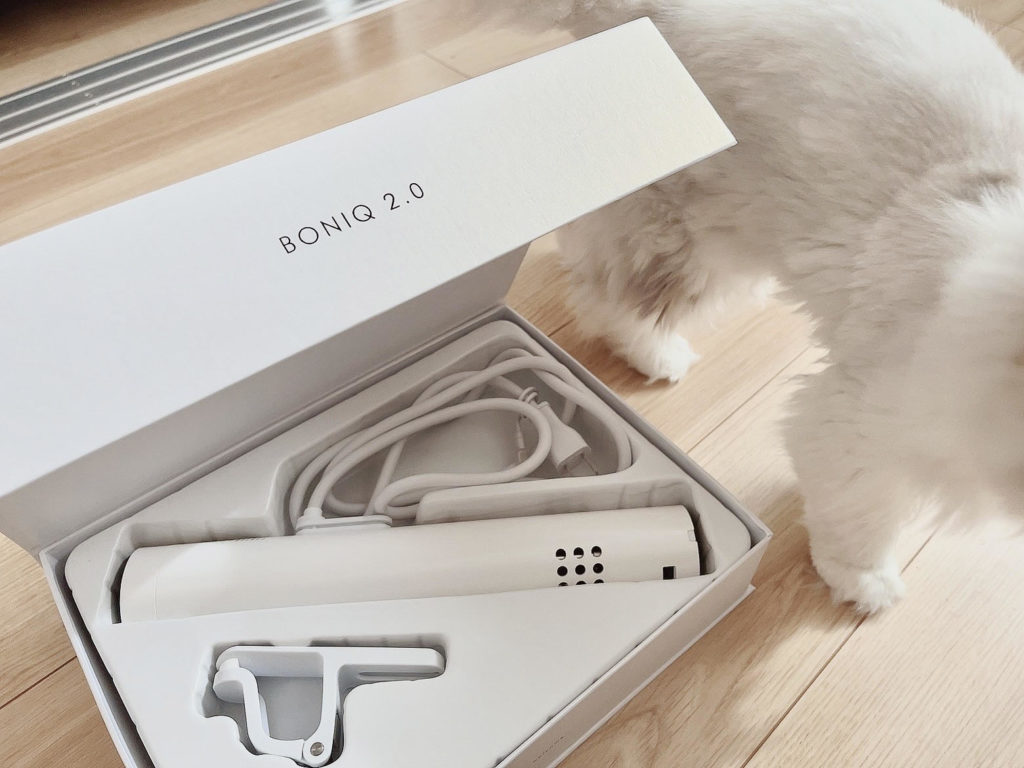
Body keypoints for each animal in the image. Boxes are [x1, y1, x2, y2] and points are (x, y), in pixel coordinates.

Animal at [497, 0, 1024, 611]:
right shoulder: (867, 418)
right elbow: (861, 514)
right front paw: (862, 582)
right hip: (690, 231)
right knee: (616, 295)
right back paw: (658, 355)